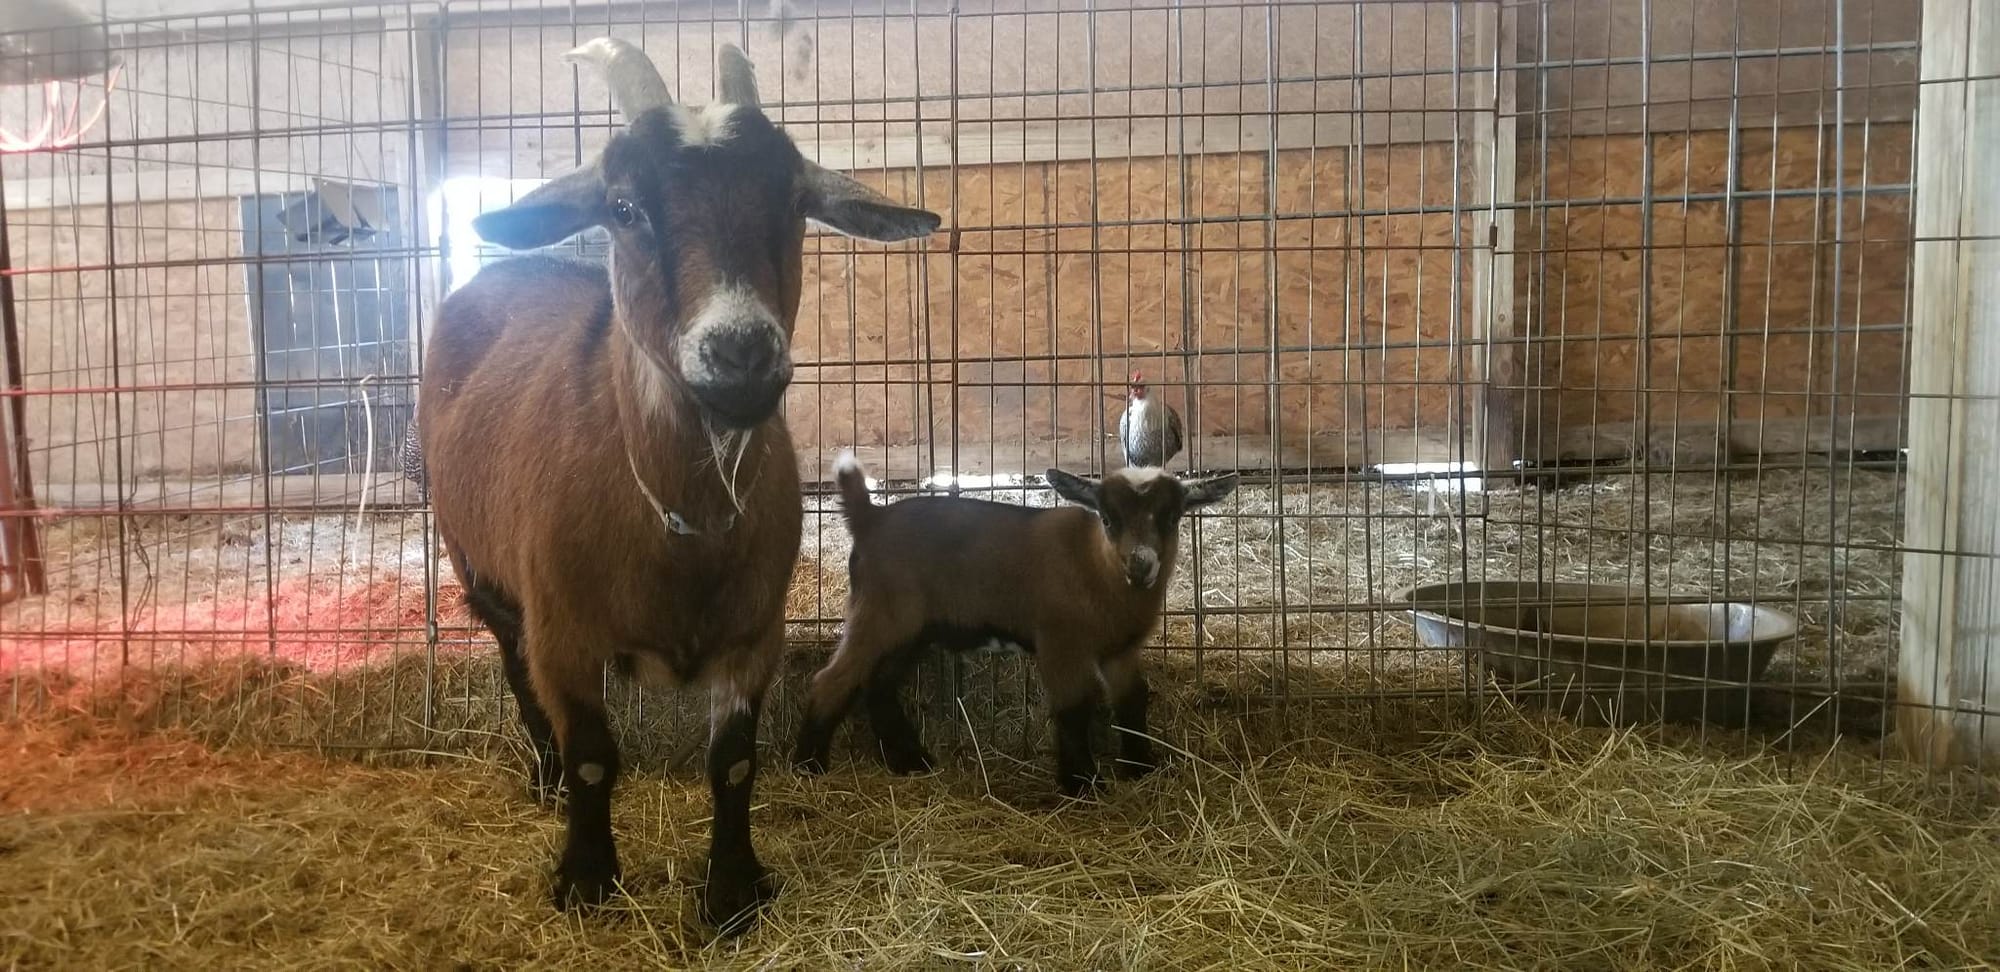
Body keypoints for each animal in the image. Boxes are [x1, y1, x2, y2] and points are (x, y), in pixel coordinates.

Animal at [417, 39, 939, 932]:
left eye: (794, 200)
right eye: (624, 206)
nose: (740, 356)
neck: (680, 520)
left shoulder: (754, 634)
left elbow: (733, 765)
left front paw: (731, 891)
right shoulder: (564, 633)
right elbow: (595, 759)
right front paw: (588, 879)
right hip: (476, 564)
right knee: (514, 668)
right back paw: (544, 777)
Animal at [792, 454, 1239, 796]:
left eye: (1172, 516)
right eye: (1109, 518)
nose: (1140, 564)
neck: (1096, 565)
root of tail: (871, 518)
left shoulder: (1121, 650)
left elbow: (1132, 701)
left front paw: (1141, 768)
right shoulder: (1060, 643)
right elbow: (1073, 708)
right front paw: (1082, 785)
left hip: (913, 630)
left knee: (878, 685)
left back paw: (911, 761)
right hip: (879, 615)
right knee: (832, 680)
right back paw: (809, 765)